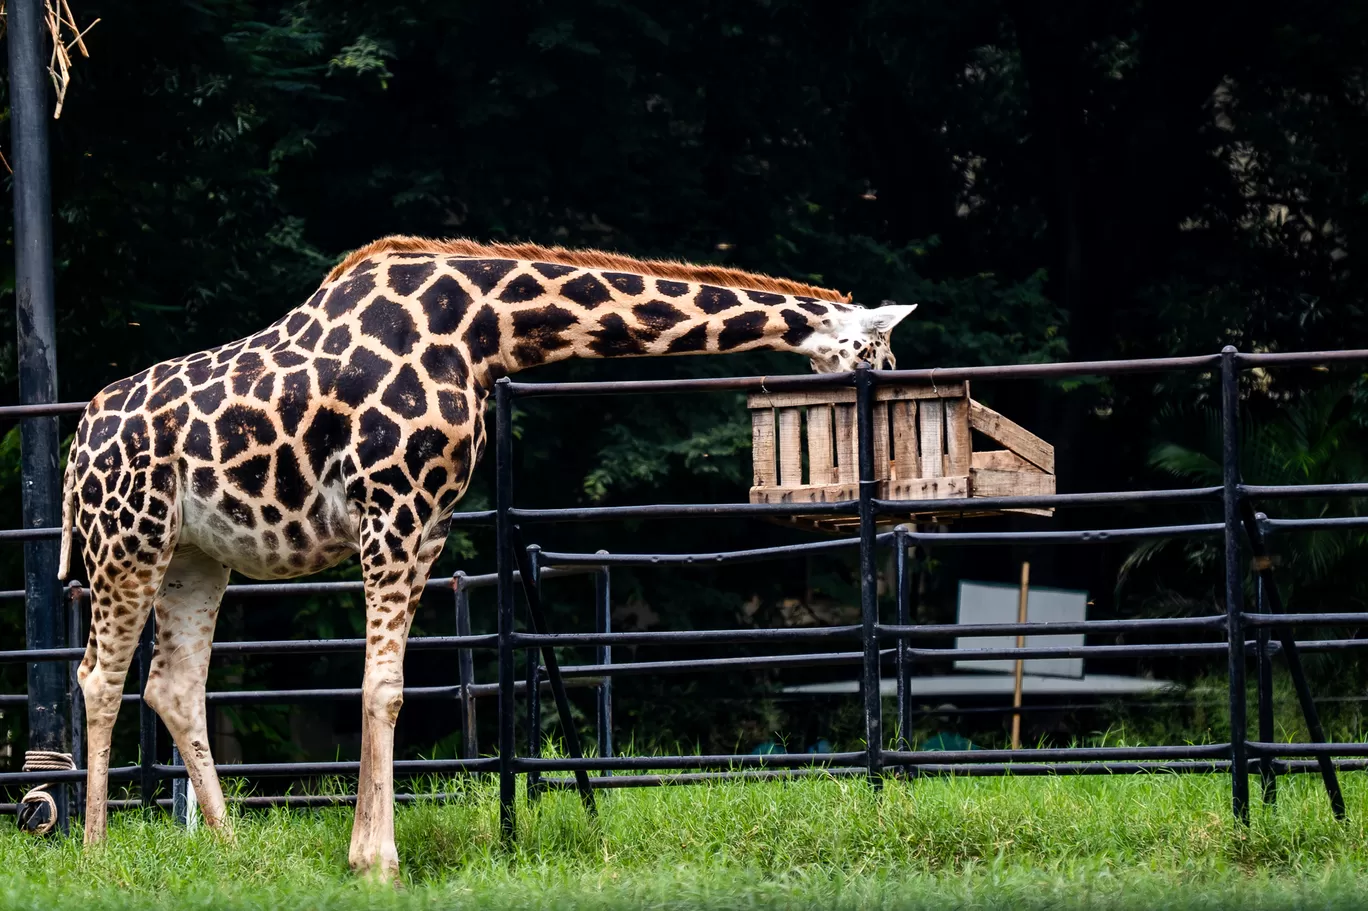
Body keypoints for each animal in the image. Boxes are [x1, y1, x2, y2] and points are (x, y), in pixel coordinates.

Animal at [61, 233, 919, 875]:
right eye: (878, 351)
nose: (892, 401)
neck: (485, 332)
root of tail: (76, 443)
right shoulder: (392, 511)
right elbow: (384, 688)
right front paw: (379, 862)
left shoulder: (429, 525)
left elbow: (389, 687)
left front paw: (363, 854)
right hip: (125, 538)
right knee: (99, 675)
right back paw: (96, 851)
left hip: (195, 555)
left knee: (173, 686)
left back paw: (236, 849)